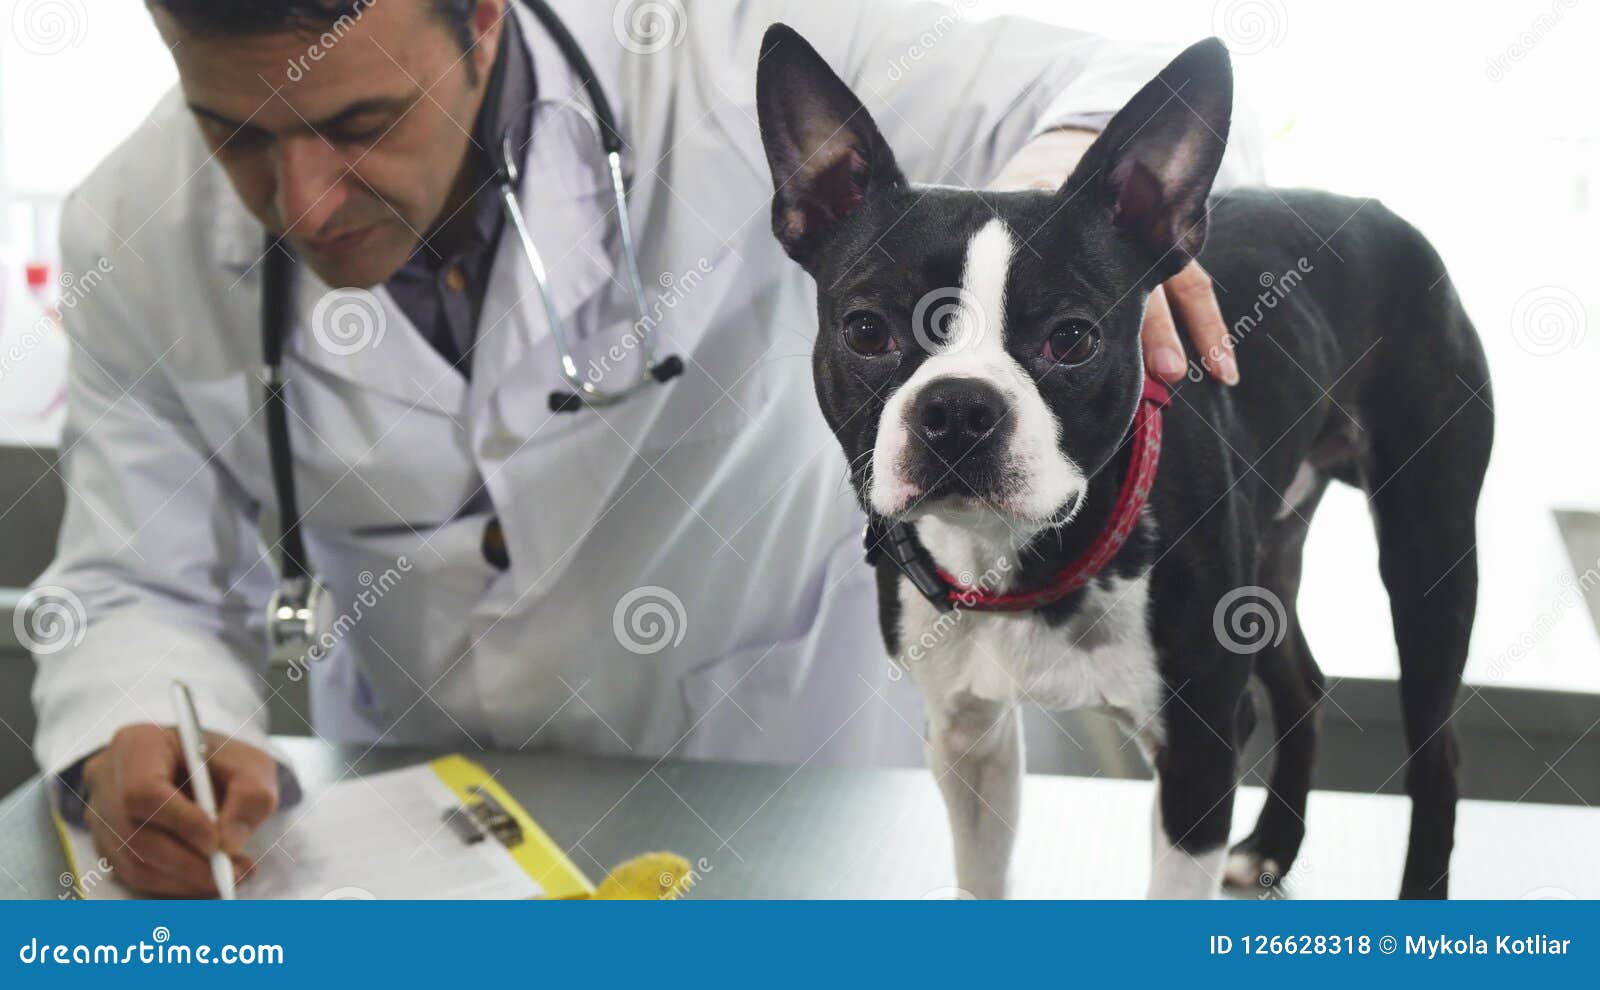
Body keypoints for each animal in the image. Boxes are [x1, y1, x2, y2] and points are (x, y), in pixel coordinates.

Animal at [755, 28, 1491, 895]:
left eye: (1072, 338)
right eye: (866, 330)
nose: (958, 408)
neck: (1023, 563)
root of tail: (1376, 209)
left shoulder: (1200, 751)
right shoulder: (970, 736)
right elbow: (982, 877)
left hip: (1427, 550)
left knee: (1437, 752)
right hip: (1269, 562)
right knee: (1303, 688)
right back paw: (1274, 844)